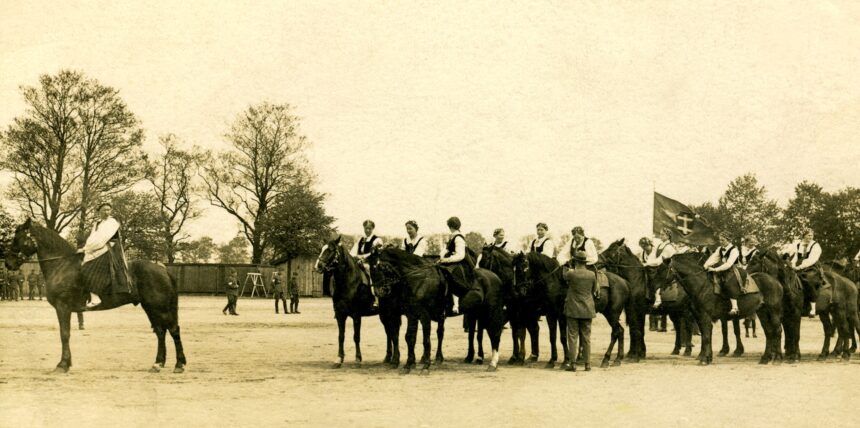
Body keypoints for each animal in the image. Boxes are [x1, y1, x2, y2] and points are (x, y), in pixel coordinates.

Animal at [3, 219, 185, 372]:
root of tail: (162, 268)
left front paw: (63, 365)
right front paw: (67, 363)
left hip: (159, 308)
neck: (62, 264)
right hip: (150, 307)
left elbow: (64, 334)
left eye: (18, 238)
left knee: (173, 330)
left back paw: (179, 364)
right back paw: (158, 363)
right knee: (161, 332)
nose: (8, 263)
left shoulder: (63, 308)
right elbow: (66, 334)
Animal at [652, 252, 788, 366]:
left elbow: (706, 336)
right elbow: (706, 335)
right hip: (762, 312)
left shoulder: (705, 316)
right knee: (769, 332)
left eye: (662, 270)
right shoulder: (700, 317)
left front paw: (704, 359)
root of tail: (775, 282)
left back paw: (777, 358)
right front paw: (707, 357)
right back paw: (765, 358)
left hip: (773, 310)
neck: (702, 286)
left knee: (777, 330)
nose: (654, 286)